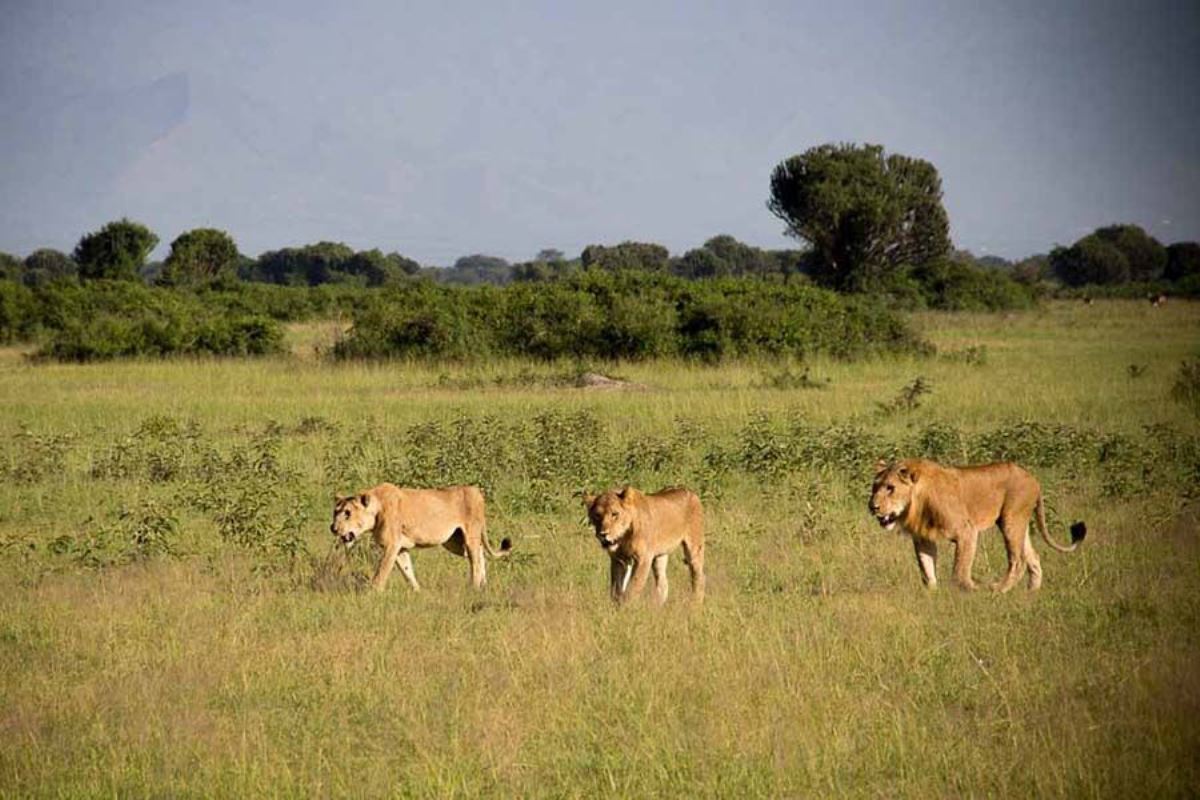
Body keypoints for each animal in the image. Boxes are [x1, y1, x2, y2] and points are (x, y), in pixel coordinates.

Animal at [331, 484, 513, 592]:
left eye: (347, 513)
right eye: (335, 512)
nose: (333, 528)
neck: (377, 509)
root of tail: (477, 491)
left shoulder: (392, 545)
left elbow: (382, 571)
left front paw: (373, 592)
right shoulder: (401, 548)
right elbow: (407, 571)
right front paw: (418, 591)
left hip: (470, 535)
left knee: (475, 559)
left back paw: (474, 588)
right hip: (454, 542)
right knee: (480, 554)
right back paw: (483, 586)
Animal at [868, 460, 1084, 592]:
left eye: (890, 488)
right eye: (874, 487)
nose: (872, 507)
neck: (916, 503)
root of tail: (1033, 479)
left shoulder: (966, 531)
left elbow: (959, 571)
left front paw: (972, 589)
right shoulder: (923, 538)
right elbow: (927, 570)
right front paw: (932, 594)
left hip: (1011, 519)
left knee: (1018, 561)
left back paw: (997, 590)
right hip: (1019, 523)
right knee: (1033, 558)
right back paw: (1030, 593)